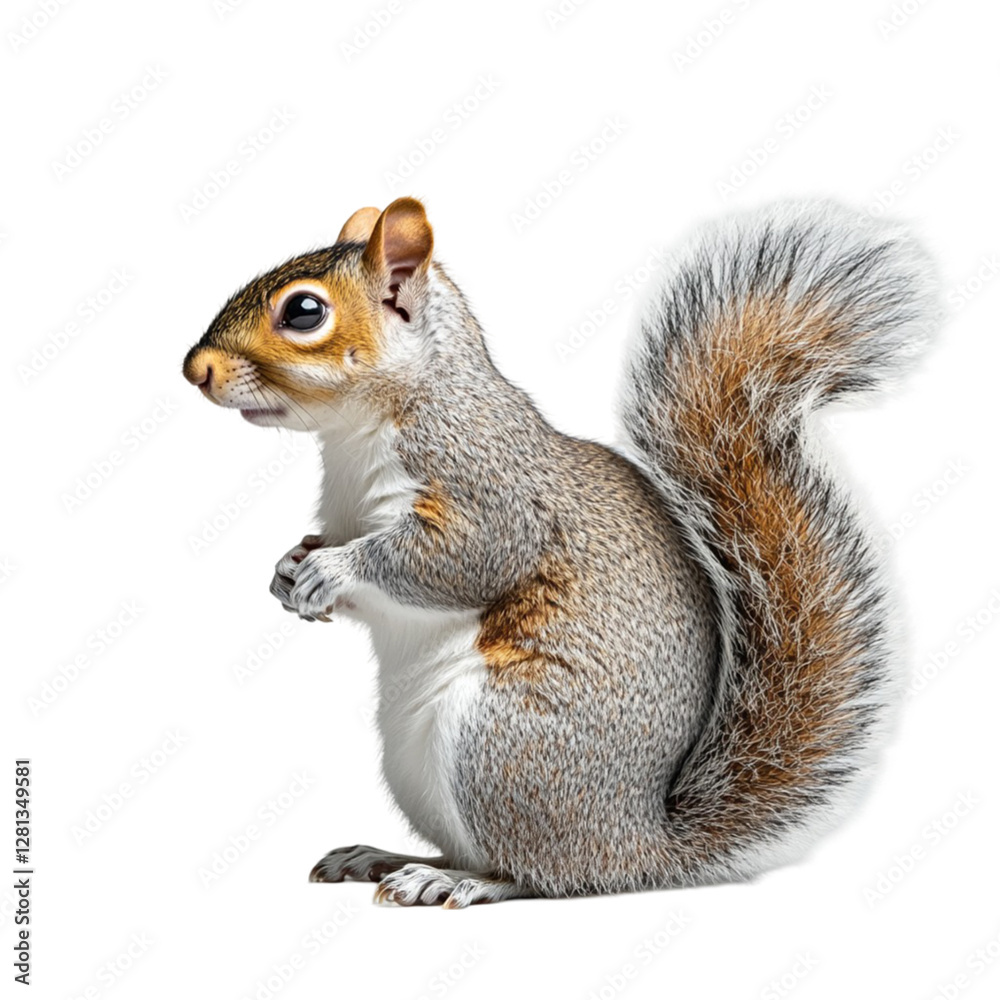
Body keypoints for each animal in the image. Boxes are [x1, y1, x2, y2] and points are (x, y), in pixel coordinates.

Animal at [183, 198, 936, 907]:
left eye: (304, 311)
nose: (195, 369)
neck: (366, 424)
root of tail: (638, 846)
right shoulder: (346, 512)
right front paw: (289, 569)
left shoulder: (487, 490)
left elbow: (455, 562)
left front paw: (331, 571)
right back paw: (387, 858)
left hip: (501, 743)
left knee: (543, 873)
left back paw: (459, 883)